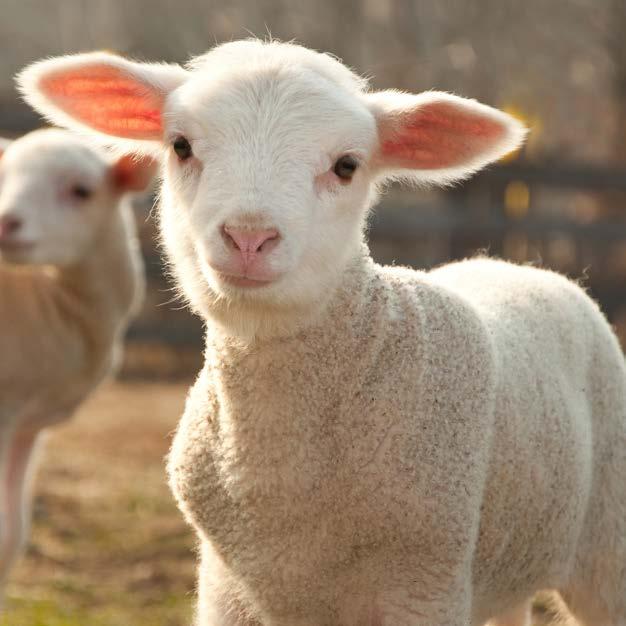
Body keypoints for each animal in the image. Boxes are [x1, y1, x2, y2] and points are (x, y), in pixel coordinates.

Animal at [18, 39, 624, 624]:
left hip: (604, 545)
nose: (249, 237)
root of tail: (522, 267)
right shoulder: (226, 587)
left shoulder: (424, 584)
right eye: (181, 146)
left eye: (346, 165)